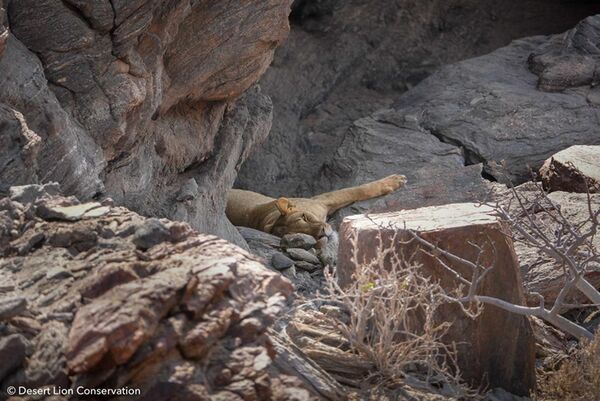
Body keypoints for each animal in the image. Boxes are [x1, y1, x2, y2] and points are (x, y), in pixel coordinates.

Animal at [226, 173, 408, 239]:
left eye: (304, 217)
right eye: (299, 234)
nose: (323, 233)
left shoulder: (320, 200)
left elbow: (357, 190)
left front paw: (396, 180)